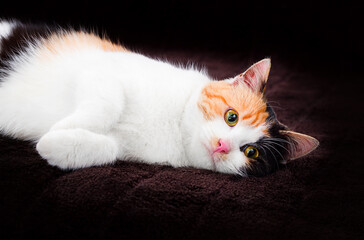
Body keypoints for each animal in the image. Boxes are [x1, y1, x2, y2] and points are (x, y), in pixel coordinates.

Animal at [0, 20, 318, 176]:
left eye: (251, 153)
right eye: (232, 117)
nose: (222, 145)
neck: (173, 126)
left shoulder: (125, 148)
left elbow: (107, 150)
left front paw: (53, 142)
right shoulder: (100, 72)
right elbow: (109, 104)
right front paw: (60, 126)